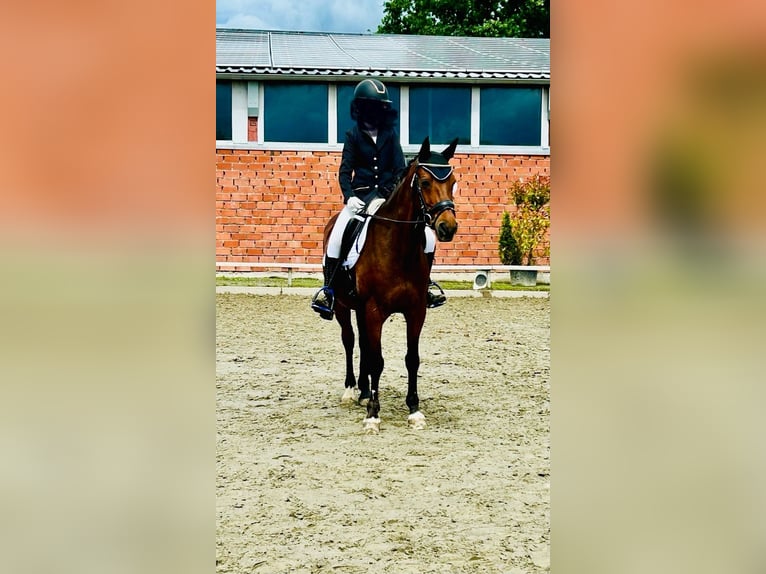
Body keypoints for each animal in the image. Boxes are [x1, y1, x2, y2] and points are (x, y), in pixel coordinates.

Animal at [322, 136, 459, 433]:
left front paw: (414, 410)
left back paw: (363, 392)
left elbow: (411, 359)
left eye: (453, 181)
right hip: (343, 306)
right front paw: (373, 414)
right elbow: (377, 360)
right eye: (424, 182)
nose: (448, 227)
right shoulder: (374, 311)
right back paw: (351, 391)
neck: (399, 247)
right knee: (350, 341)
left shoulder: (416, 311)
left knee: (362, 343)